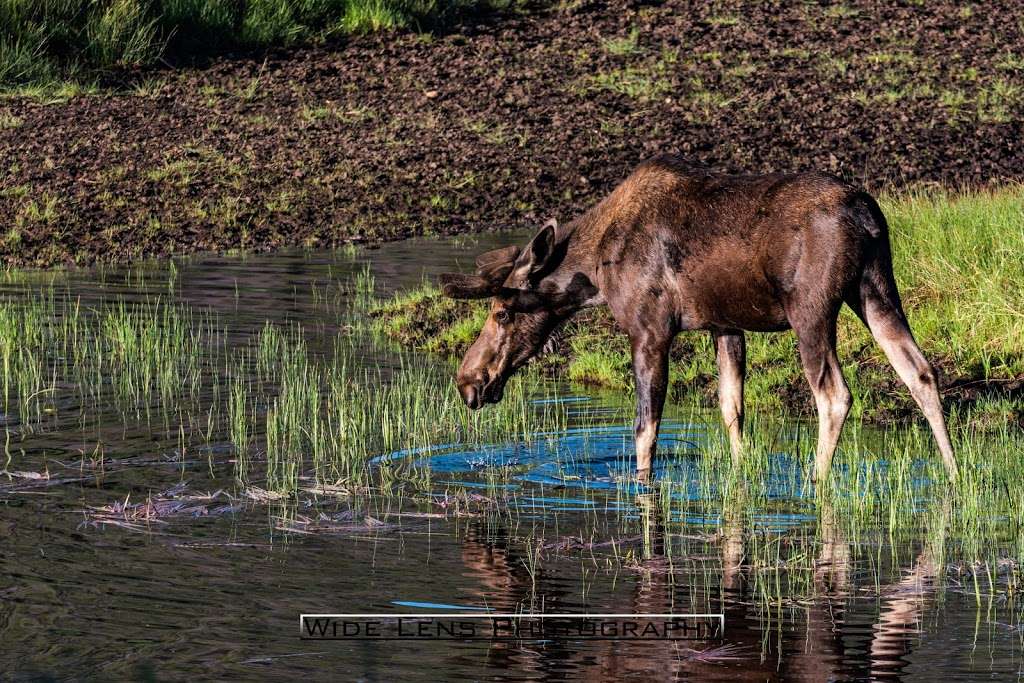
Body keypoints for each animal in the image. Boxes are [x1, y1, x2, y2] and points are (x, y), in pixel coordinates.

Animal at [440, 156, 958, 483]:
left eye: (502, 312)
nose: (468, 380)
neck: (594, 275)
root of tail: (867, 216)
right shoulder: (725, 326)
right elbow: (732, 410)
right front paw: (742, 472)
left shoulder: (649, 329)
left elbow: (645, 429)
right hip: (876, 290)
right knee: (920, 372)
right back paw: (953, 474)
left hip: (811, 309)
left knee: (834, 394)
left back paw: (817, 480)